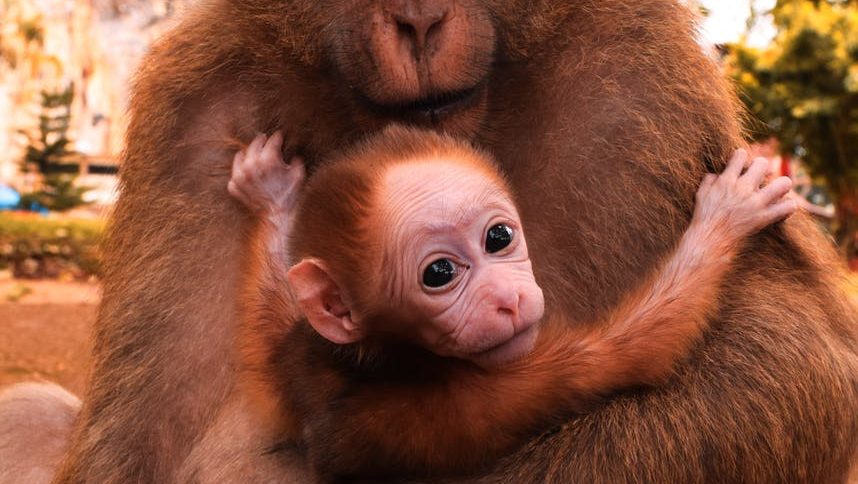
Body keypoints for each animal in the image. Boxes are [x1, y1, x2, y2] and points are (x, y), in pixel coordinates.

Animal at [229, 125, 796, 480]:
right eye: (439, 274)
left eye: (498, 238)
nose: (507, 299)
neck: (380, 357)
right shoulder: (469, 399)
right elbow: (636, 353)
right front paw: (726, 217)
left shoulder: (297, 360)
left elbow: (271, 338)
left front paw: (271, 194)